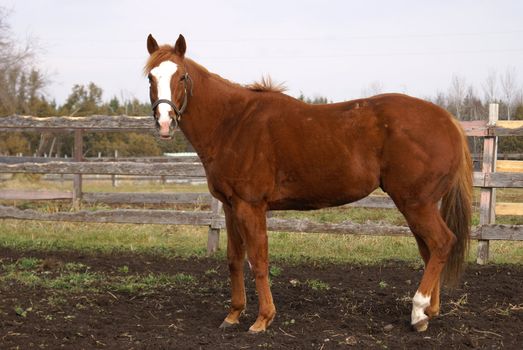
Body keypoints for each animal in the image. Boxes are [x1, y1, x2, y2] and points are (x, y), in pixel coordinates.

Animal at [144, 33, 474, 334]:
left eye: (182, 76)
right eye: (150, 76)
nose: (165, 122)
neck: (232, 123)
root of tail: (448, 120)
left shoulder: (251, 207)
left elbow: (259, 261)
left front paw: (263, 319)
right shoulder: (229, 206)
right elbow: (235, 259)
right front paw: (234, 314)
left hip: (416, 203)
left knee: (441, 243)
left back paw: (418, 312)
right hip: (419, 205)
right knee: (430, 250)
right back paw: (429, 311)